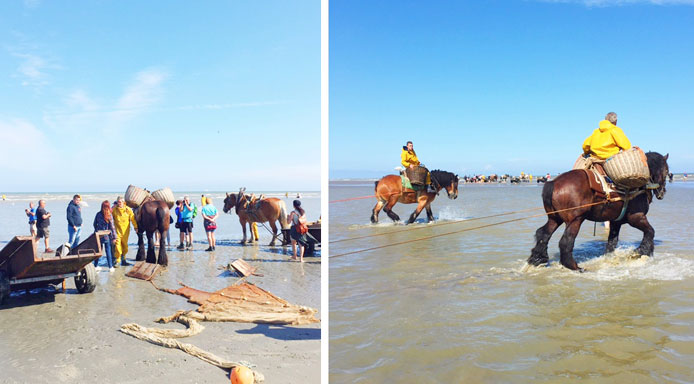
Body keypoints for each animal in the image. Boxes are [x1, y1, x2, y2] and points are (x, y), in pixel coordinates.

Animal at [532, 152, 672, 272]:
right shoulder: (636, 218)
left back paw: (537, 259)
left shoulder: (616, 222)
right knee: (566, 241)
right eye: (666, 170)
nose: (662, 192)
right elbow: (650, 232)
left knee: (543, 234)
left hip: (555, 218)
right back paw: (574, 267)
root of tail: (554, 182)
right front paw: (642, 252)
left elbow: (611, 243)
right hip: (575, 220)